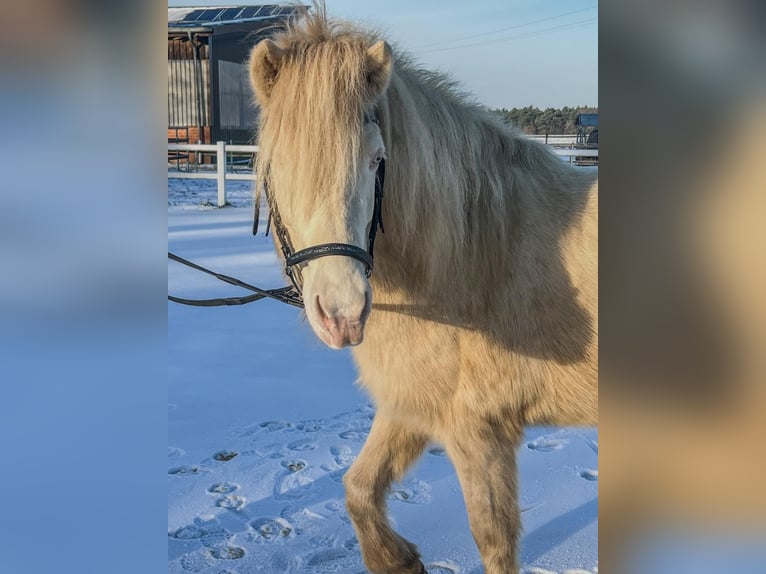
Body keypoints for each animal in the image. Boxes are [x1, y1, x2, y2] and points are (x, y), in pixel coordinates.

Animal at [248, 6, 597, 573]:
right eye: (278, 163)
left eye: (376, 159)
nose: (343, 314)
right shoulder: (410, 406)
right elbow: (358, 488)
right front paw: (399, 559)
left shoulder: (480, 432)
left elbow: (493, 540)